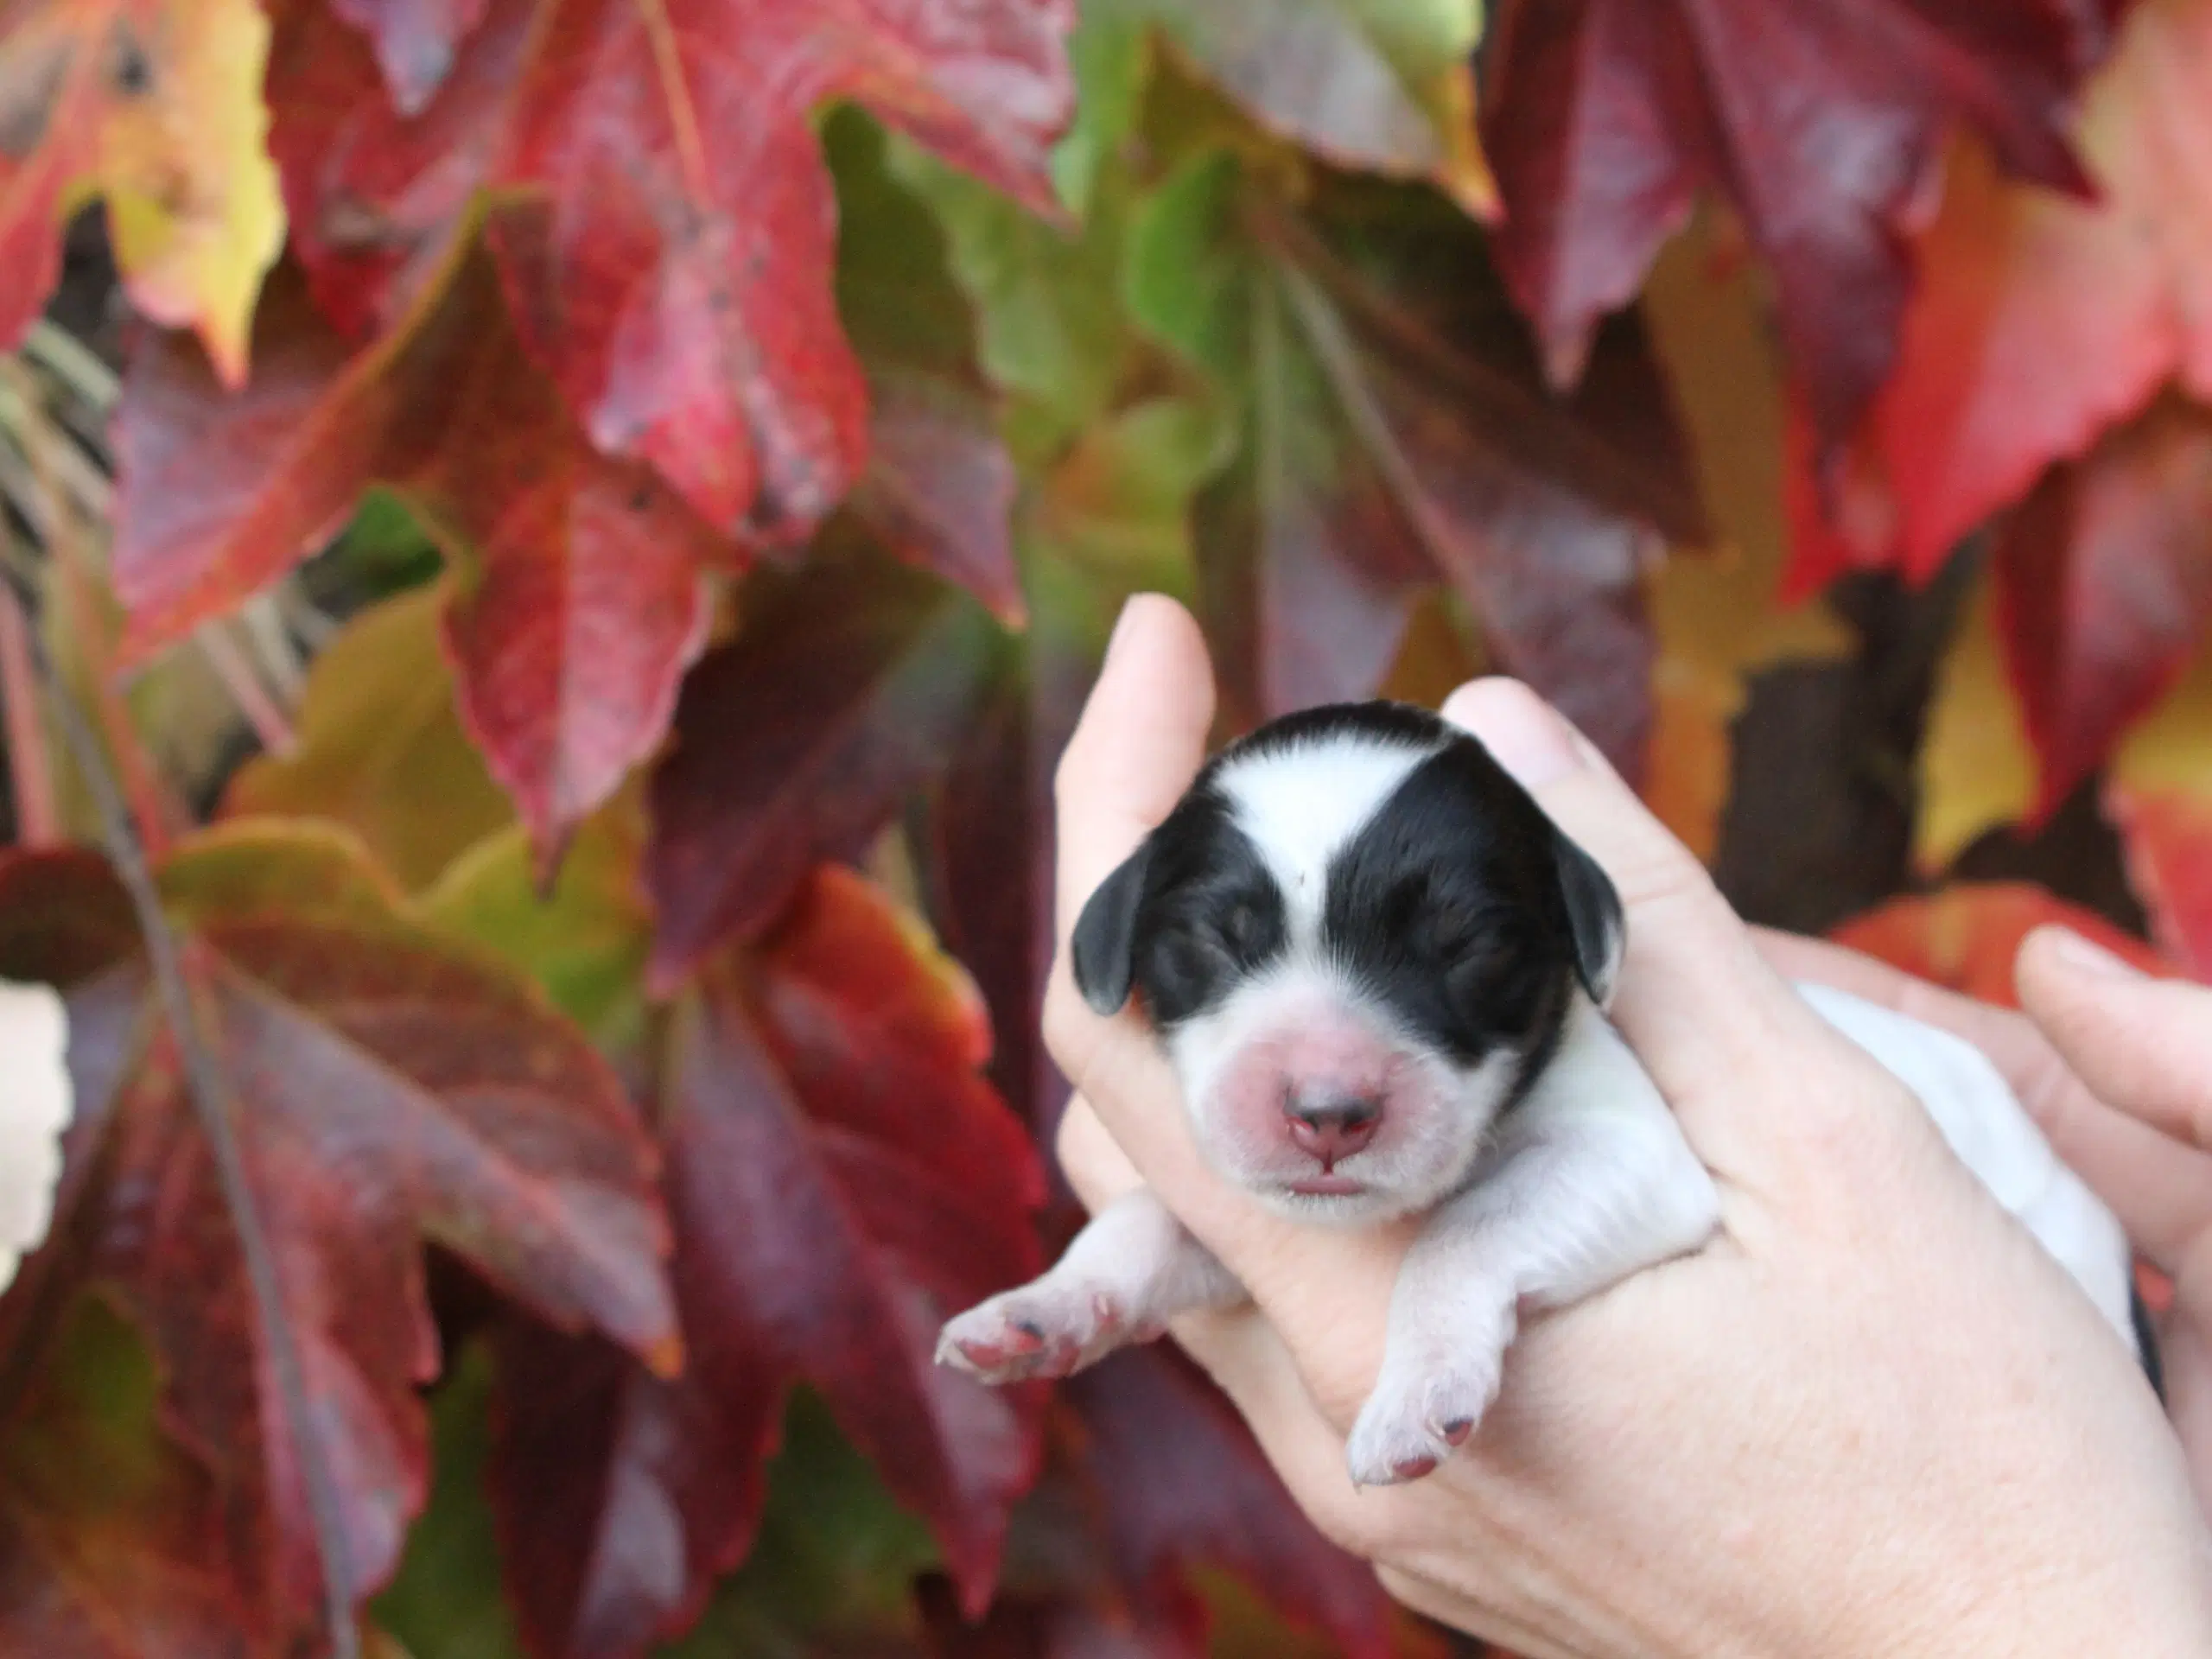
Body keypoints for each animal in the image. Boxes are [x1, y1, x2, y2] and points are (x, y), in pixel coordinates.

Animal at [938, 694, 2141, 1486]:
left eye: (1464, 947)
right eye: (1213, 942)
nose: (1327, 1114)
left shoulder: (1630, 1157)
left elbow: (1461, 1230)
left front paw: (1418, 1390)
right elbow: (1151, 1220)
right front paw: (1045, 1306)